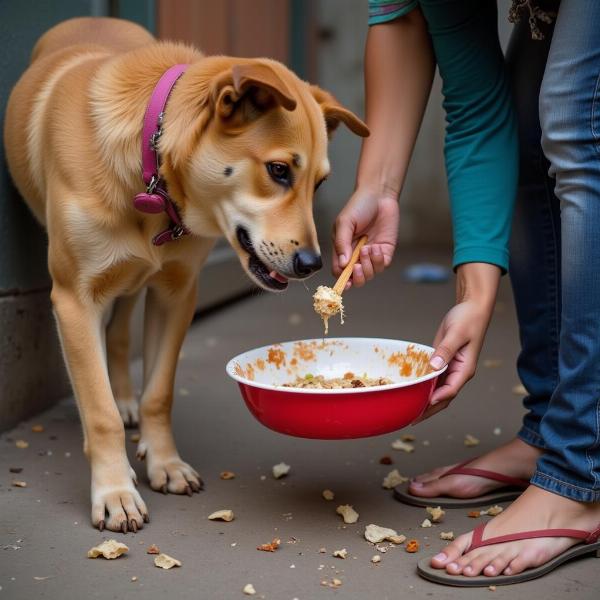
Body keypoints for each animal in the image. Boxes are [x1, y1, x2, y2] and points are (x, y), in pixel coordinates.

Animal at [4, 16, 368, 532]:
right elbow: (98, 411)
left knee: (119, 335)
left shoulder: (177, 294)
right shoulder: (74, 300)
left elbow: (159, 393)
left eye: (318, 183)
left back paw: (127, 399)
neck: (148, 169)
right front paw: (114, 492)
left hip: (134, 281)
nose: (312, 265)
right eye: (278, 170)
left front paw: (165, 463)